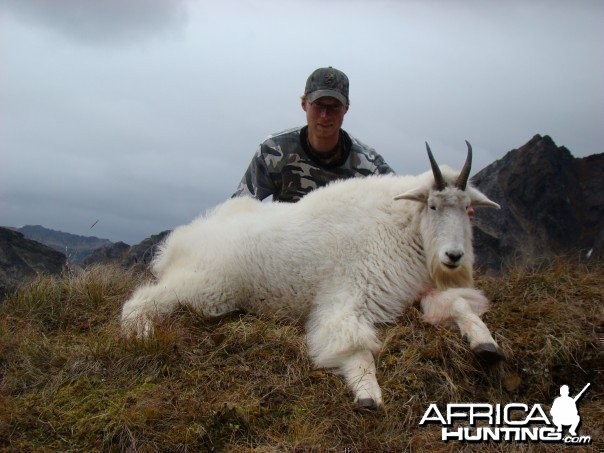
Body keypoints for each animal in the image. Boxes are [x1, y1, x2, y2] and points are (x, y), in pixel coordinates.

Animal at [122, 142, 504, 410]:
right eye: (433, 205)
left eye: (468, 209)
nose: (453, 257)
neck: (400, 227)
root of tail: (179, 242)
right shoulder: (348, 298)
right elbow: (354, 346)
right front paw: (368, 395)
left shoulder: (420, 291)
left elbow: (460, 306)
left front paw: (486, 344)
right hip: (207, 288)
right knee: (139, 301)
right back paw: (141, 334)